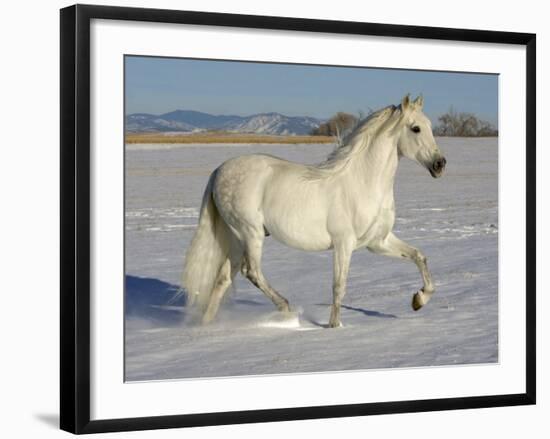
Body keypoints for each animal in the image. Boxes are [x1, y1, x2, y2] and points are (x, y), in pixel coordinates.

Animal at [183, 97, 446, 330]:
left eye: (430, 126)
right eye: (415, 128)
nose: (440, 164)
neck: (363, 182)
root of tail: (219, 170)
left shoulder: (378, 242)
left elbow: (419, 256)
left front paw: (419, 300)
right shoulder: (343, 244)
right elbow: (339, 286)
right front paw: (334, 326)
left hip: (236, 239)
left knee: (223, 278)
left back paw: (206, 328)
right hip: (250, 233)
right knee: (252, 272)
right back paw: (286, 309)